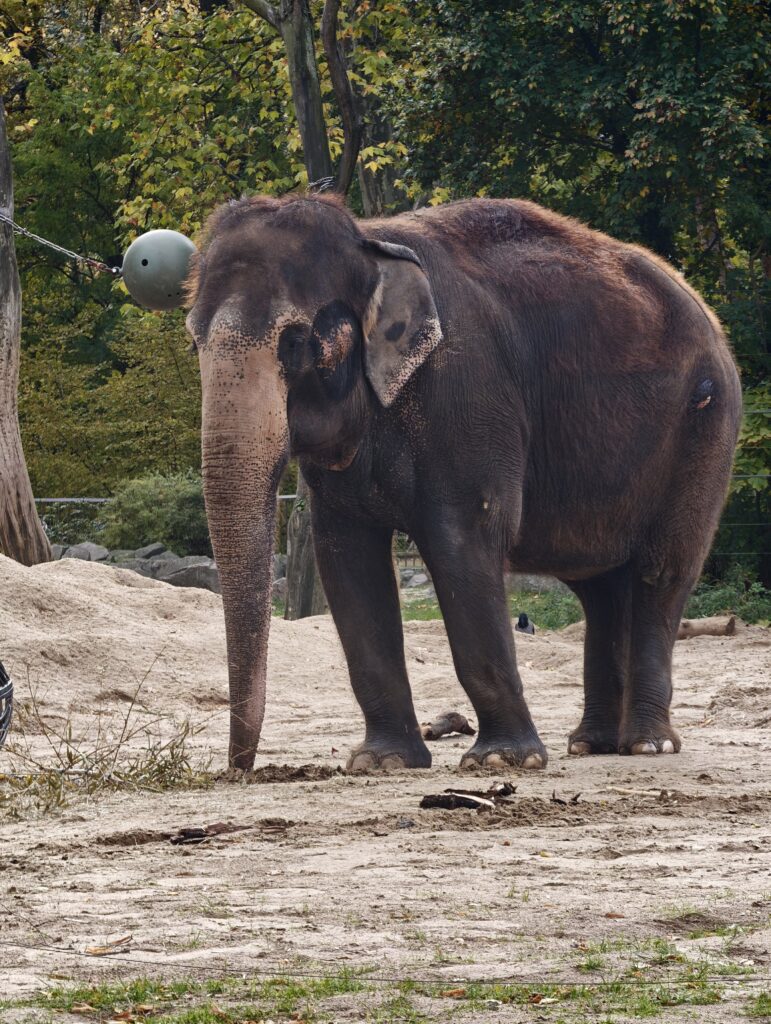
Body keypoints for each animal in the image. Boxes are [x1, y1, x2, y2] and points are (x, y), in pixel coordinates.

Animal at [184, 193, 741, 772]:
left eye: (294, 342)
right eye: (193, 341)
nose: (240, 768)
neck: (369, 241)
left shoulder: (469, 397)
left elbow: (462, 542)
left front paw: (503, 761)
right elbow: (346, 557)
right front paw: (383, 762)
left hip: (704, 431)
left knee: (661, 574)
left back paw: (646, 745)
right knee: (600, 588)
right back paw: (592, 744)